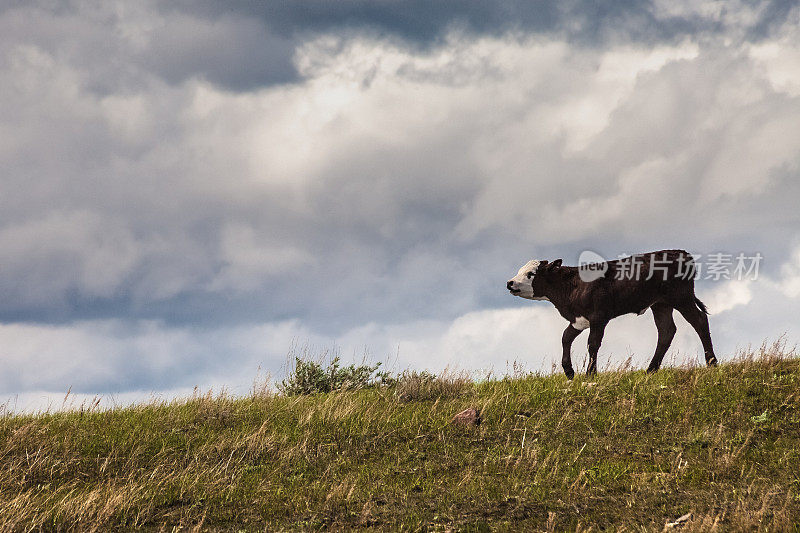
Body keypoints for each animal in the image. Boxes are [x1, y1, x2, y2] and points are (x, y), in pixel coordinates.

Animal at [506, 249, 720, 378]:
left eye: (531, 274)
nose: (510, 282)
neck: (573, 285)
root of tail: (680, 253)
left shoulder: (599, 317)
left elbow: (592, 344)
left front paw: (590, 373)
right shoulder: (578, 319)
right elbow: (565, 338)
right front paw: (569, 371)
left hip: (681, 297)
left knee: (699, 321)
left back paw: (712, 363)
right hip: (661, 304)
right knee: (666, 331)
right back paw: (651, 370)